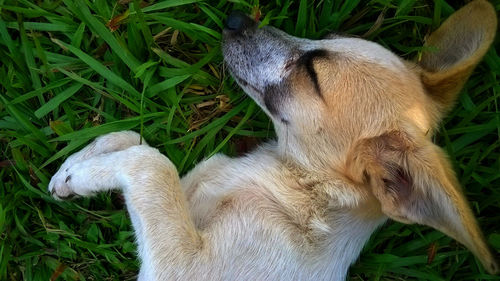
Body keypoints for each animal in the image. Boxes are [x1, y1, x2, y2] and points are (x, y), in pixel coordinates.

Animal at [48, 1, 498, 278]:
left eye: (313, 73)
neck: (297, 186)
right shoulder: (188, 192)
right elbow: (136, 139)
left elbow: (152, 163)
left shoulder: (181, 266)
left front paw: (81, 174)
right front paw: (75, 169)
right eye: (328, 35)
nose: (235, 18)